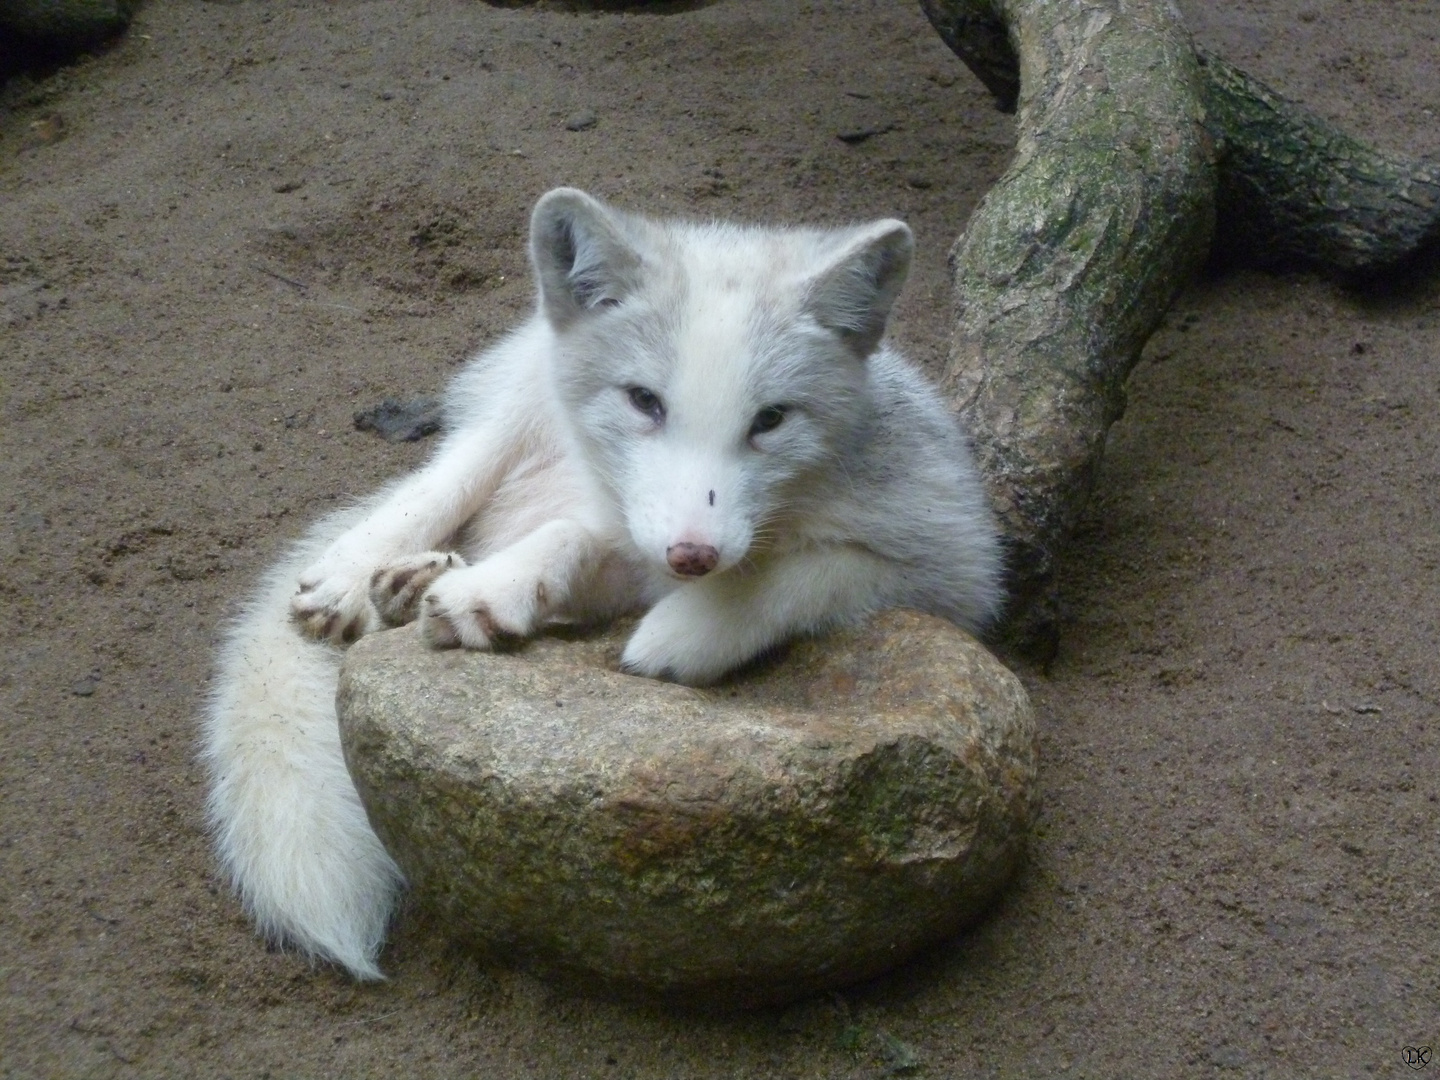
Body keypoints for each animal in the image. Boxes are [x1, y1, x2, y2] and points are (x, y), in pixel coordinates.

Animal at [205, 185, 1002, 979]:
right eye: (645, 401)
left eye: (771, 420)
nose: (691, 555)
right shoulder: (629, 528)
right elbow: (568, 535)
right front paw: (493, 590)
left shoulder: (955, 563)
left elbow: (795, 573)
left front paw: (678, 632)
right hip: (520, 410)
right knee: (448, 479)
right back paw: (361, 573)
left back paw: (419, 579)